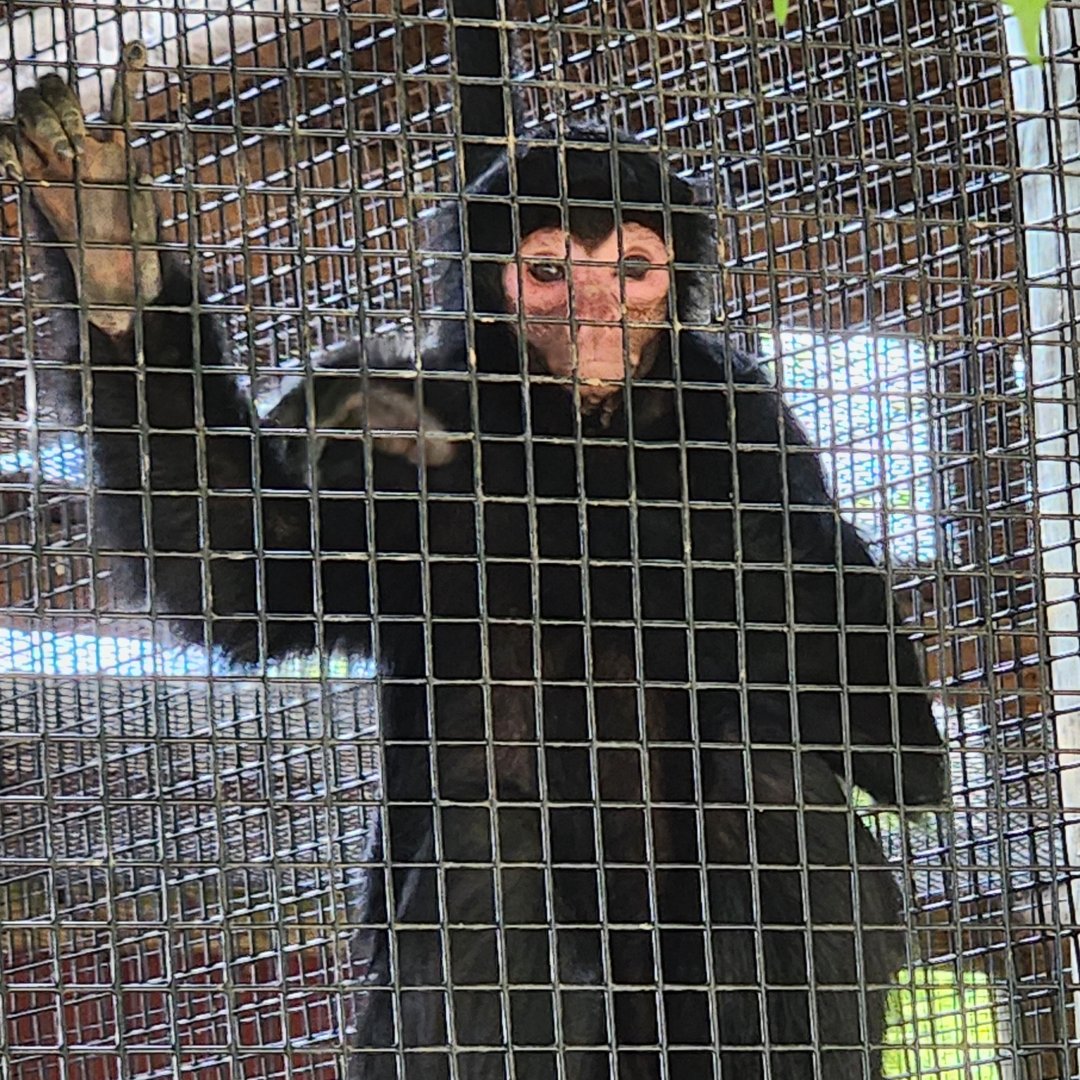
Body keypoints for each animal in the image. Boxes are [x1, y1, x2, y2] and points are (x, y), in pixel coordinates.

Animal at [1, 35, 946, 1080]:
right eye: (549, 272)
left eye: (632, 270)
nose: (593, 320)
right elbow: (240, 570)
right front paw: (107, 250)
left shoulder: (744, 412)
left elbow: (895, 734)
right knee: (487, 839)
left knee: (767, 774)